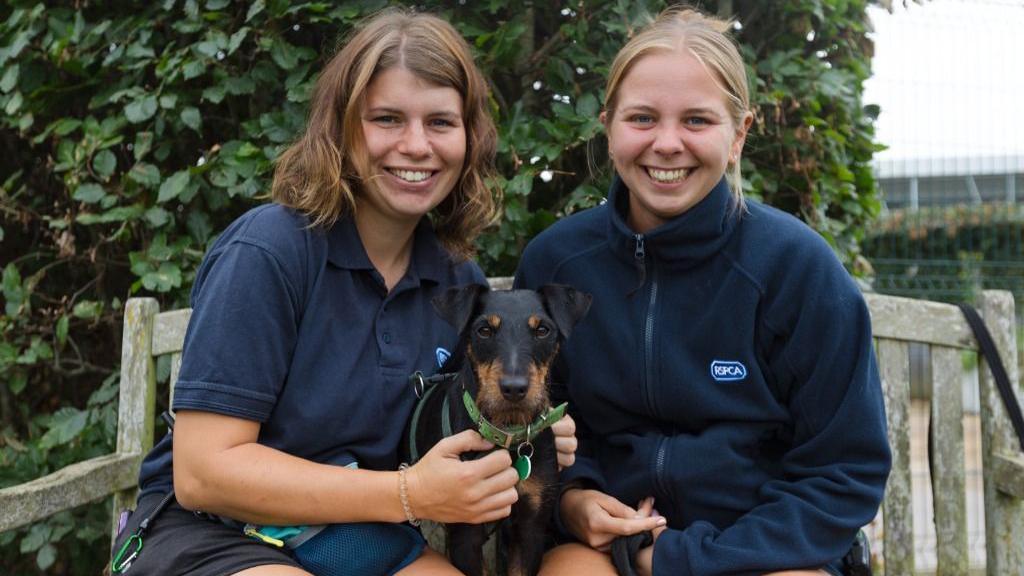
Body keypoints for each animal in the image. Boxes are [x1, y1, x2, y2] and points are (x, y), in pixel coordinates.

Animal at [401, 282, 589, 573]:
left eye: (542, 330)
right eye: (484, 330)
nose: (514, 388)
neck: (507, 432)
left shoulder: (531, 526)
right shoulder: (465, 530)